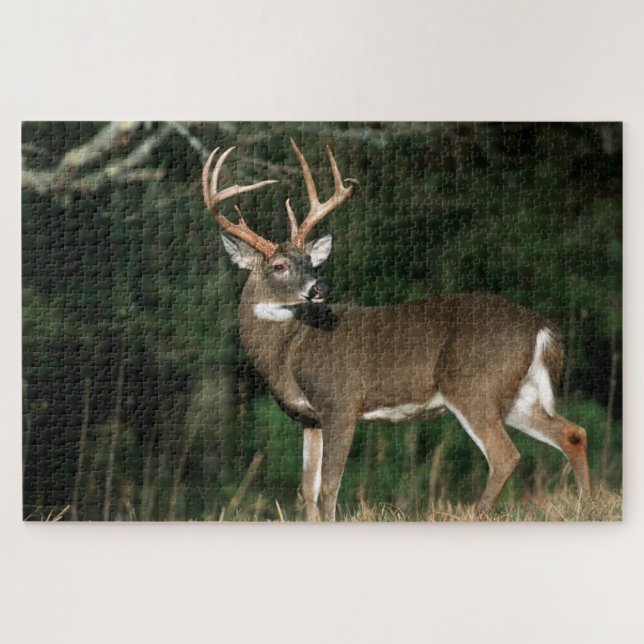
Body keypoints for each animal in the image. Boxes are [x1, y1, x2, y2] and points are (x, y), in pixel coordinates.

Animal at [201, 138, 591, 521]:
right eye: (280, 266)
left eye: (311, 261)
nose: (320, 287)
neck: (289, 351)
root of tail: (540, 326)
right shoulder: (309, 419)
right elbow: (307, 491)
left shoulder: (340, 402)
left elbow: (329, 488)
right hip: (513, 392)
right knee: (573, 432)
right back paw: (585, 502)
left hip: (473, 384)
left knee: (505, 455)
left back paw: (478, 514)